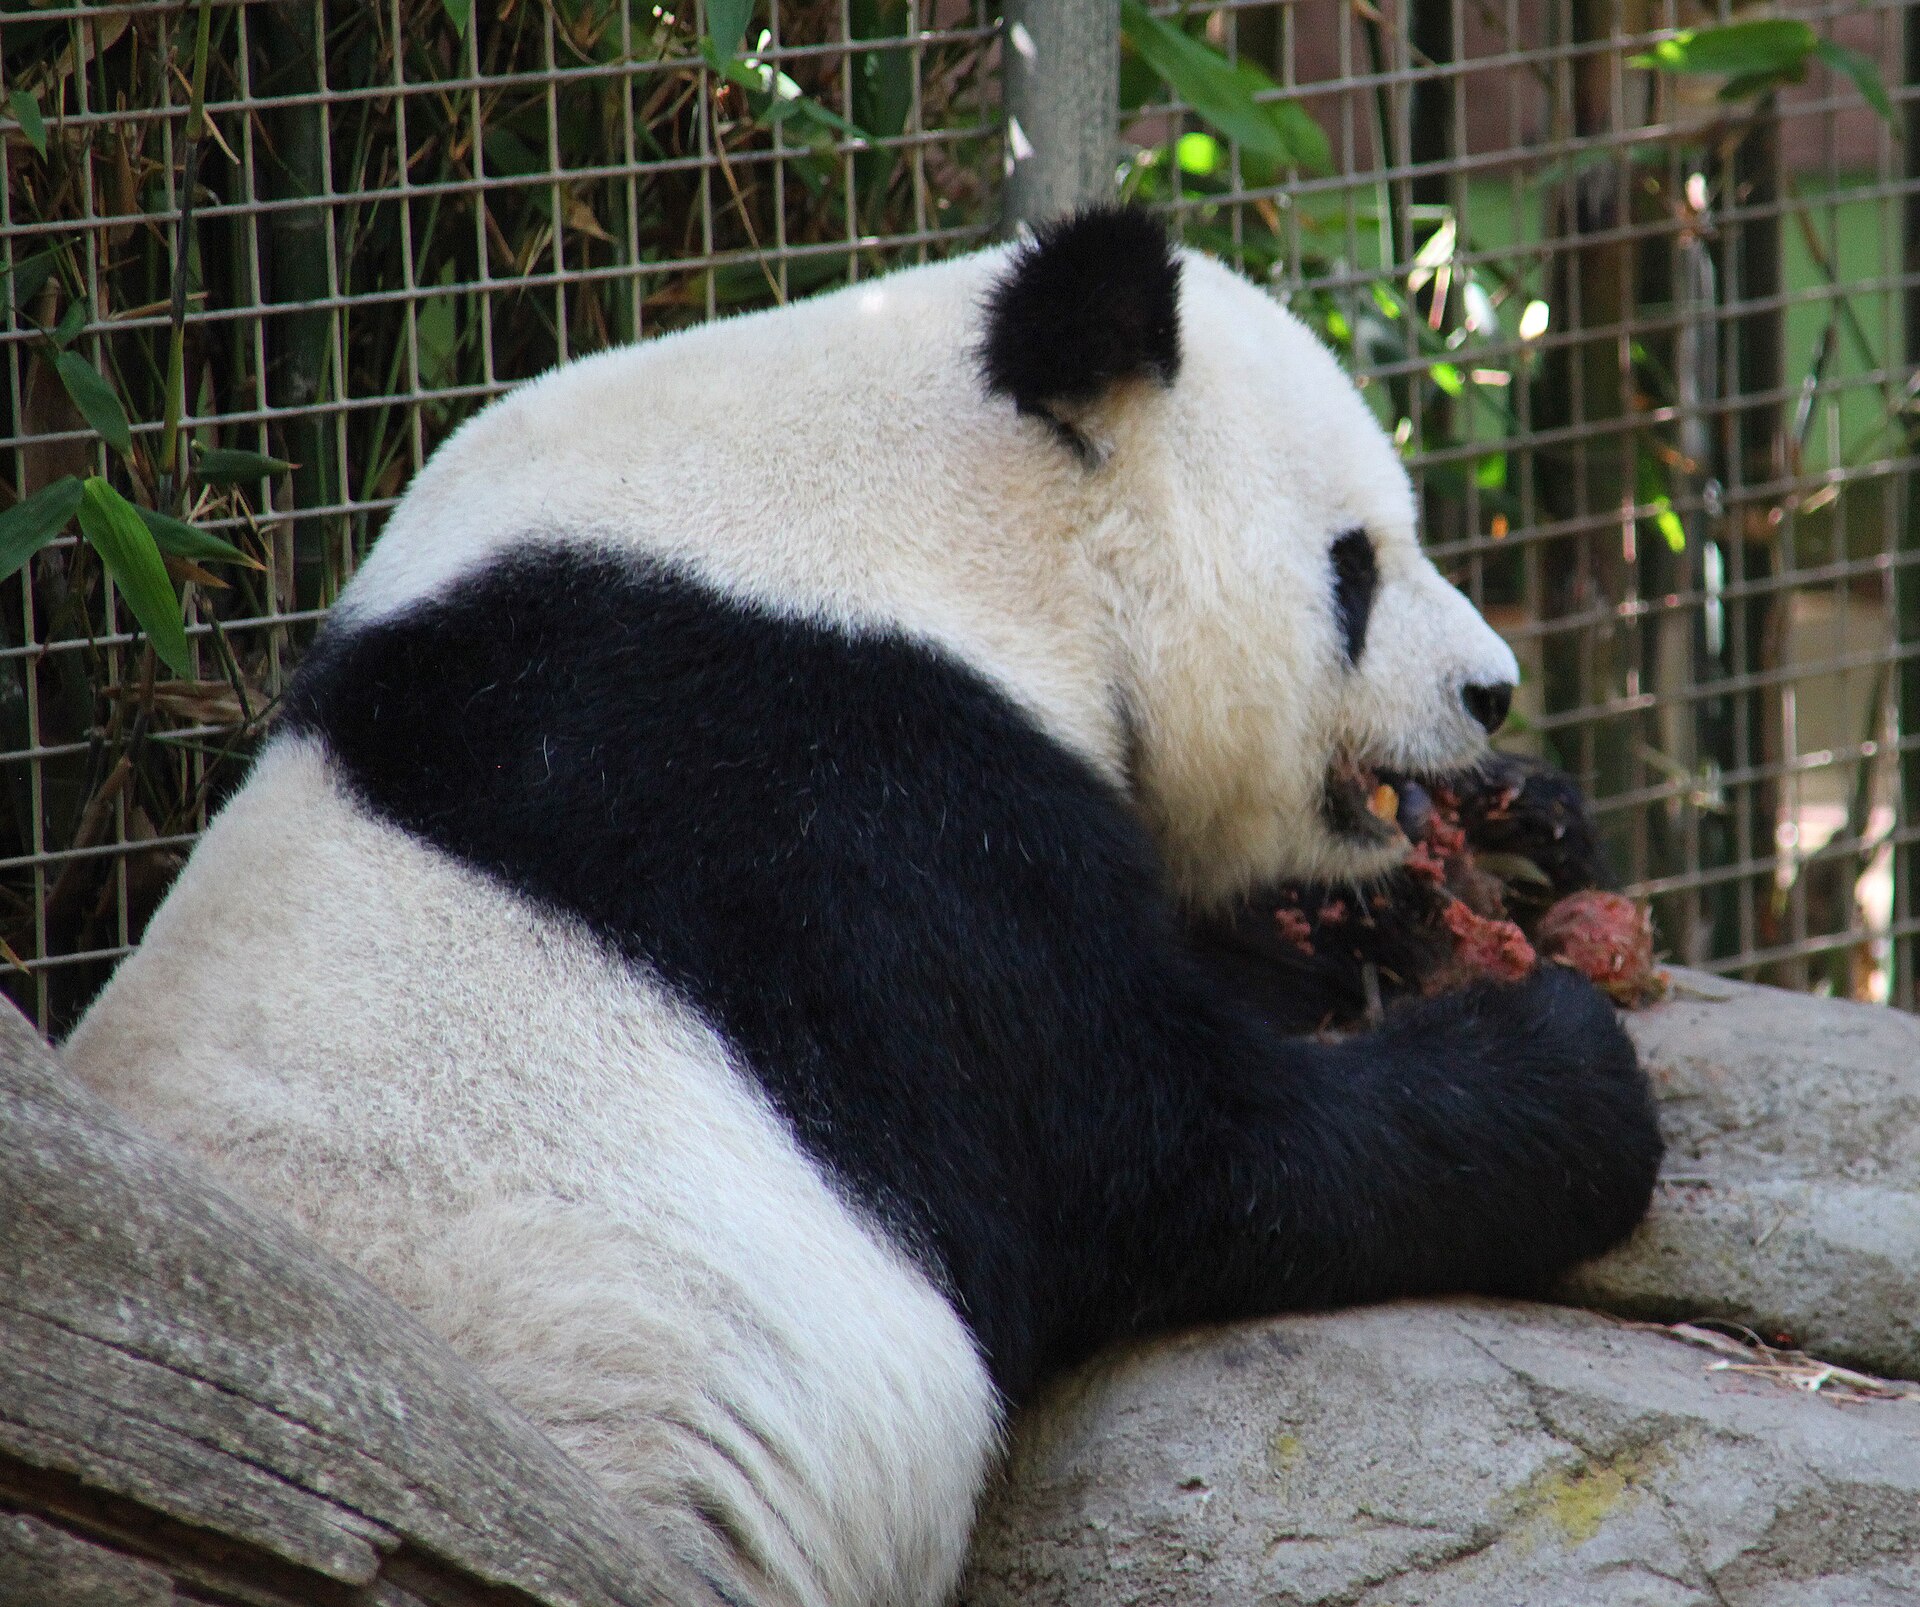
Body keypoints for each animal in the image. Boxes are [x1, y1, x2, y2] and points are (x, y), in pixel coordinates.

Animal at [64, 208, 1661, 1607]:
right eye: (1356, 565)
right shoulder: (827, 804)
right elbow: (1157, 1154)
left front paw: (1510, 851)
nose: (1492, 688)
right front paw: (1563, 1068)